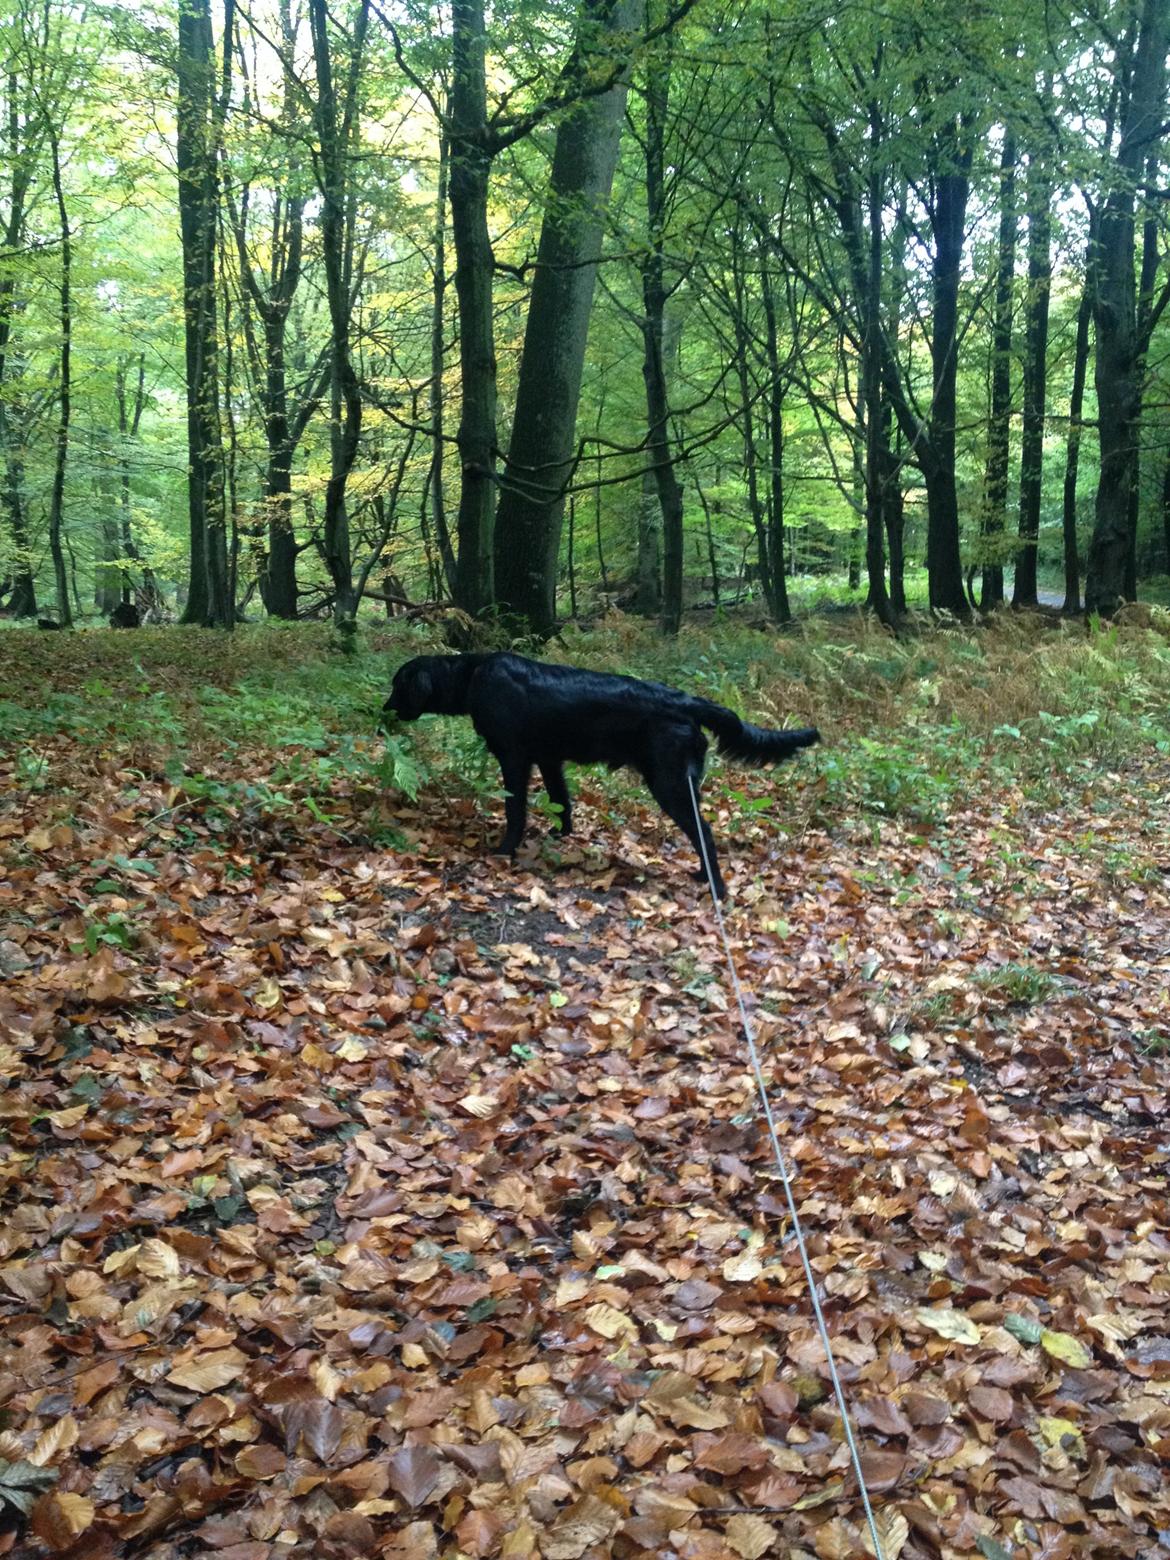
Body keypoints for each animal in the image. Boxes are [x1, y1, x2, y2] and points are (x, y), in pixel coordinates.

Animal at [380, 652, 817, 898]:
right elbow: (561, 802)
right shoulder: (548, 759)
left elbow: (515, 810)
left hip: (669, 782)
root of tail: (688, 702)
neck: (471, 675)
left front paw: (504, 850)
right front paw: (559, 838)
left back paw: (716, 888)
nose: (383, 709)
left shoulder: (514, 757)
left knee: (704, 833)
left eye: (397, 684)